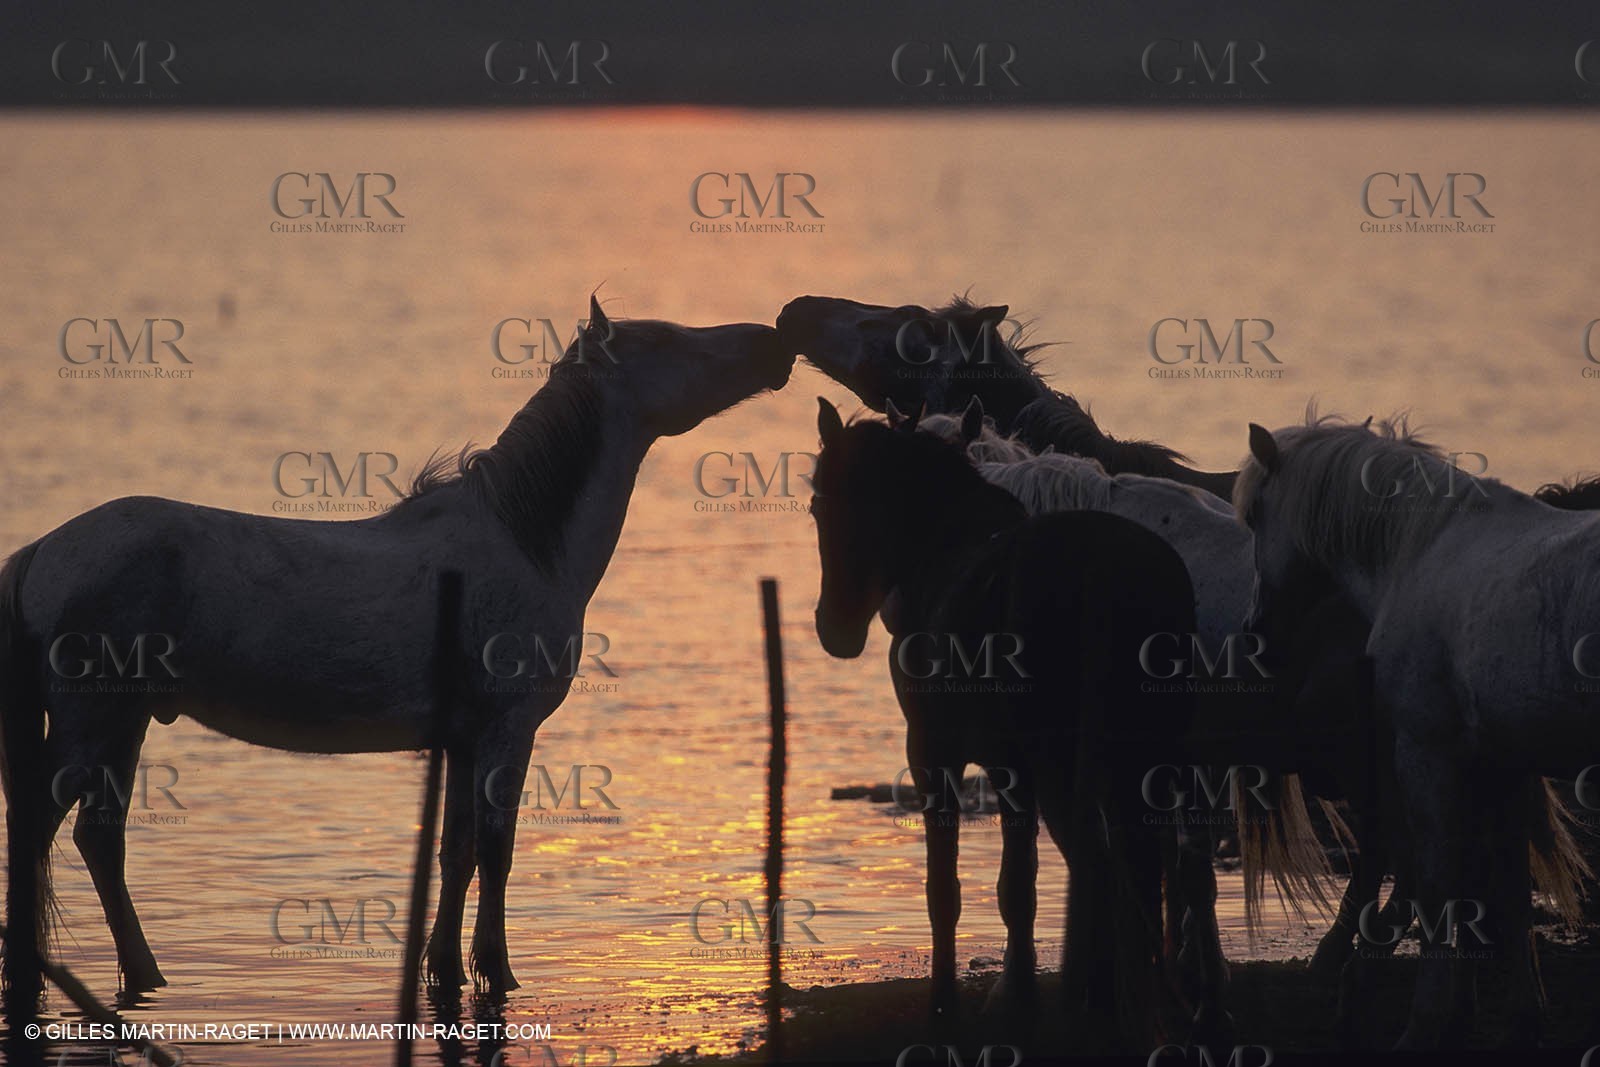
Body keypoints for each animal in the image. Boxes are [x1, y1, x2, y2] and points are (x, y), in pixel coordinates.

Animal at [0, 298, 793, 1018]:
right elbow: (498, 850)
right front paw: (497, 971)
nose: (774, 339)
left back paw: (143, 974)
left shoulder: (463, 741)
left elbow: (457, 850)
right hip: (94, 721)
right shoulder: (508, 732)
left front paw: (444, 969)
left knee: (96, 838)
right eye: (666, 339)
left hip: (125, 723)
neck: (520, 540)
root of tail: (42, 551)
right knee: (43, 825)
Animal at [809, 396, 1199, 1050]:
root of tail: (1103, 570)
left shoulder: (934, 753)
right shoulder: (1010, 767)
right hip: (1145, 758)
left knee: (1097, 863)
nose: (834, 626)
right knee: (1148, 866)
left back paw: (1093, 1008)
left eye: (820, 504)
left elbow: (946, 891)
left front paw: (946, 1008)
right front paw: (1015, 997)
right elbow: (1019, 887)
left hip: (1064, 763)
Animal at [1237, 412, 1600, 1048]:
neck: (1420, 551)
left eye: (1255, 514)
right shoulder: (1502, 763)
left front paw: (1425, 1023)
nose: (1257, 630)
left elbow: (1437, 884)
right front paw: (1517, 1018)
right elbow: (1505, 891)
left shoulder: (1426, 754)